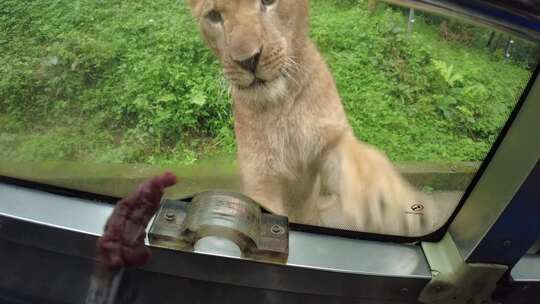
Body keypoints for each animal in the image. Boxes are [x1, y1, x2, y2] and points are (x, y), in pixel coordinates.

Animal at [188, 0, 436, 236]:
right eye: (213, 16)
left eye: (268, 1)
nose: (248, 60)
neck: (281, 102)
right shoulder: (260, 175)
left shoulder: (330, 140)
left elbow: (361, 157)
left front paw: (385, 198)